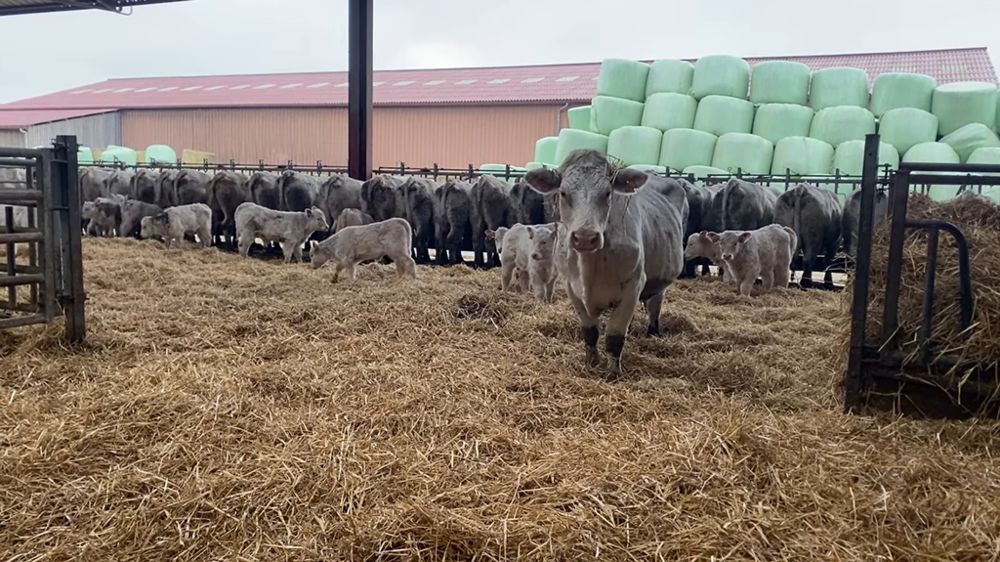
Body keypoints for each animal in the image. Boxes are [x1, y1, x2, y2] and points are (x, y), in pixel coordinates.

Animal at [524, 149, 687, 378]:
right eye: (563, 193)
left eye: (608, 193)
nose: (585, 237)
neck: (589, 267)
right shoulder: (572, 288)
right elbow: (590, 332)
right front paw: (591, 363)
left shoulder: (633, 285)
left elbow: (615, 336)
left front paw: (613, 371)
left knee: (655, 304)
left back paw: (653, 331)